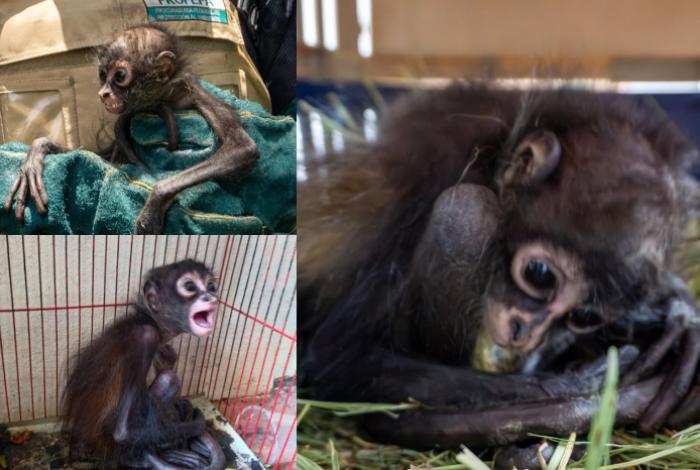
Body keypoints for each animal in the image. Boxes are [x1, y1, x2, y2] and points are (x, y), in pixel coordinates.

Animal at [3, 24, 259, 234]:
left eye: (120, 75)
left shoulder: (194, 93)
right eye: (102, 75)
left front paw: (154, 203)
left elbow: (243, 149)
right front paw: (36, 155)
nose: (103, 93)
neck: (159, 98)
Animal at [62, 259, 226, 469]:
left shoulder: (164, 348)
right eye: (190, 287)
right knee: (169, 380)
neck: (149, 319)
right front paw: (199, 424)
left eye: (211, 286)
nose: (211, 297)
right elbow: (123, 433)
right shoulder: (146, 338)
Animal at [298, 84, 700, 451]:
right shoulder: (418, 186)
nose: (526, 333)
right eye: (539, 275)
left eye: (584, 316)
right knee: (467, 211)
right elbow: (340, 360)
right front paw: (575, 385)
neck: (496, 148)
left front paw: (677, 309)